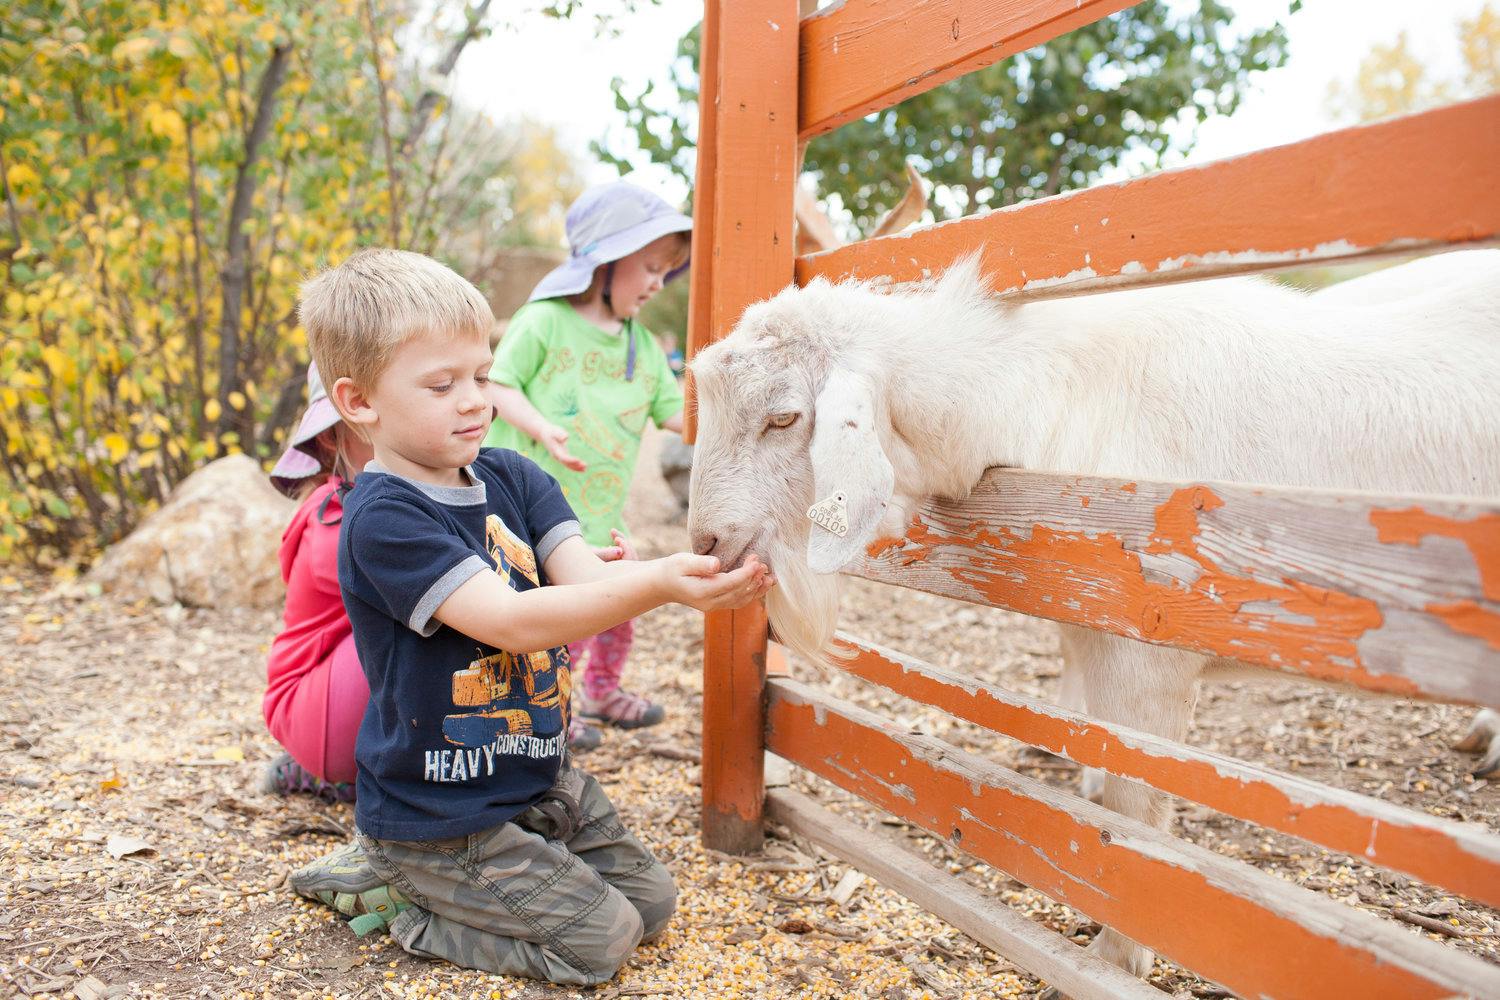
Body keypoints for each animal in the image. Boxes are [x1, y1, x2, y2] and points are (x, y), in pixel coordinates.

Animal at [687, 248, 1500, 981]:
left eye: (784, 417)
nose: (706, 542)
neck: (1061, 401)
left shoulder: (1151, 652)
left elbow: (1135, 816)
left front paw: (1118, 955)